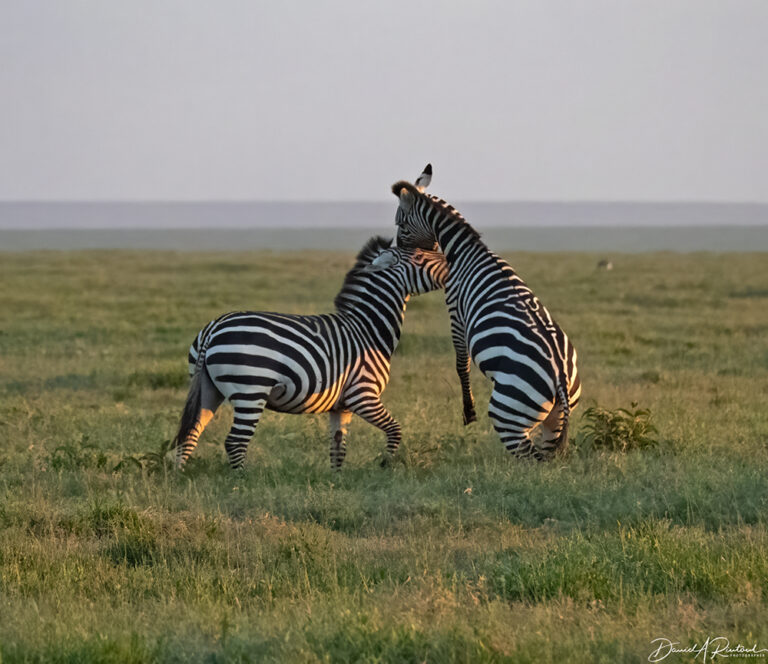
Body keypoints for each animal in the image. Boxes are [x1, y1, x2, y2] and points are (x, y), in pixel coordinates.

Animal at [172, 236, 450, 470]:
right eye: (420, 257)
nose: (451, 265)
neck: (367, 328)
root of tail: (214, 327)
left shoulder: (342, 406)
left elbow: (338, 447)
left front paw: (337, 482)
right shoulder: (363, 395)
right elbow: (395, 429)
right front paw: (385, 465)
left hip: (208, 389)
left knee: (190, 435)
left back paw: (179, 476)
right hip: (250, 390)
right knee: (235, 441)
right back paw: (241, 483)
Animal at [392, 163, 580, 460]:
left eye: (400, 224)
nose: (399, 253)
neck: (465, 249)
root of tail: (561, 377)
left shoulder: (456, 311)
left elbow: (462, 363)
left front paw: (468, 412)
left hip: (508, 409)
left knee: (529, 458)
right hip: (553, 421)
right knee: (543, 457)